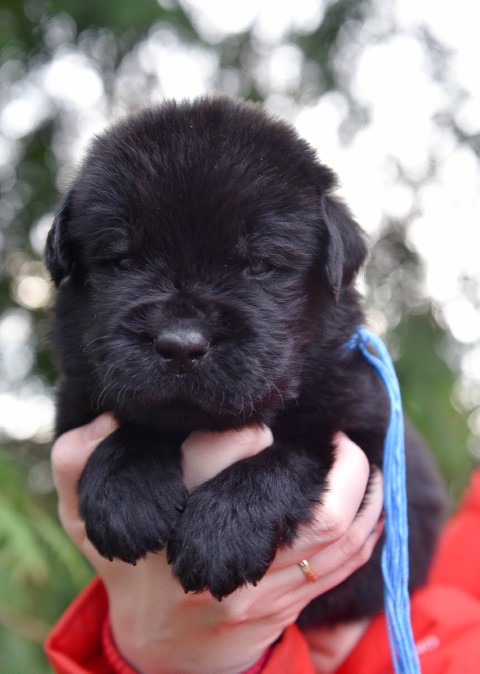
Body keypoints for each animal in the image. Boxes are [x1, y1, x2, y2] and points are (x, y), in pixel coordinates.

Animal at [45, 96, 446, 626]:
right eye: (125, 261)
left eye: (259, 265)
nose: (180, 345)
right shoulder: (75, 403)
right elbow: (133, 421)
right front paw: (125, 493)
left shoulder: (371, 437)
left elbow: (295, 451)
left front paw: (222, 531)